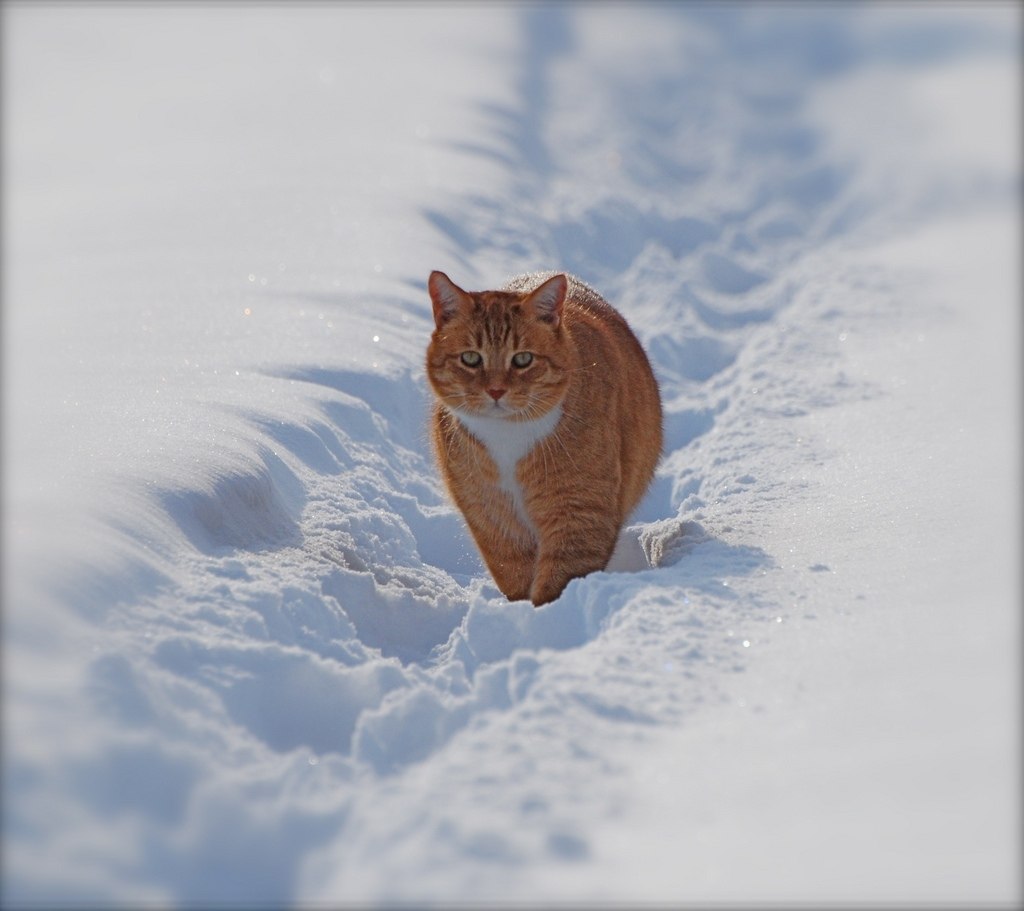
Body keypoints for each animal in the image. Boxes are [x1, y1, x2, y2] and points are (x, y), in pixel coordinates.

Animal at [423, 272, 663, 610]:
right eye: (470, 358)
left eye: (523, 359)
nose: (496, 390)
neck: (507, 435)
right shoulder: (489, 513)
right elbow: (512, 571)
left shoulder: (578, 508)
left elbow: (562, 573)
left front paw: (546, 613)